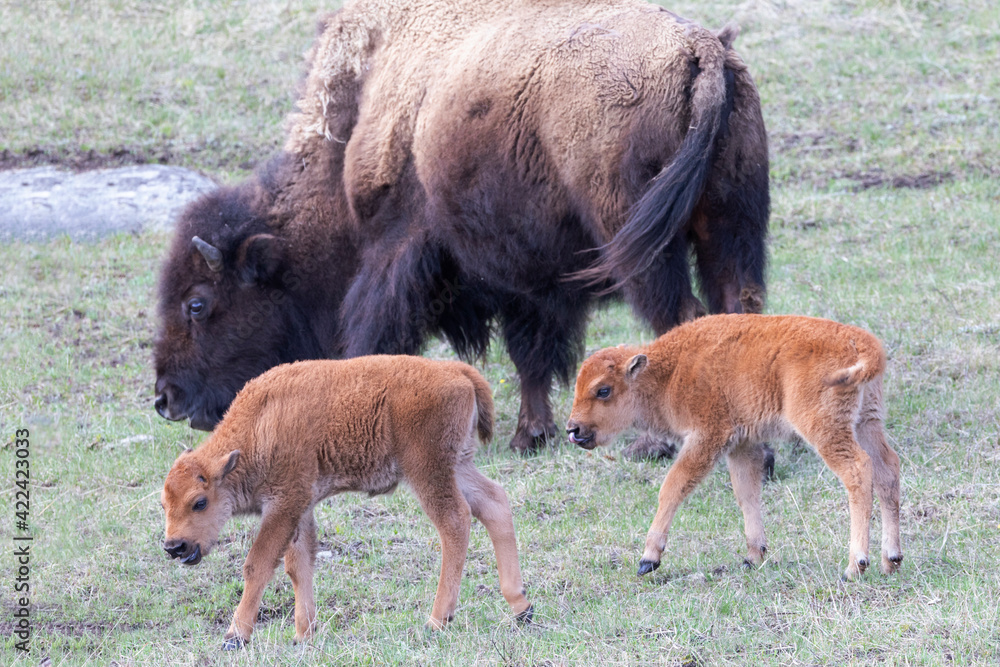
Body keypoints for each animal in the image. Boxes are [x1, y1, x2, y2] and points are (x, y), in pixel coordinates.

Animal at [153, 0, 770, 455]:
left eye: (197, 304)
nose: (166, 399)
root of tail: (701, 52)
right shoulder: (531, 276)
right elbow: (532, 354)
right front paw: (530, 435)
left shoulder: (398, 251)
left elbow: (377, 332)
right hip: (731, 227)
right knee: (737, 308)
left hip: (643, 246)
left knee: (678, 318)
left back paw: (654, 445)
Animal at [161, 355, 533, 649]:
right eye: (165, 505)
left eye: (199, 502)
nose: (174, 546)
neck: (259, 427)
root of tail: (457, 371)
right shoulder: (301, 508)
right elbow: (299, 565)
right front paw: (303, 635)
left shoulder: (283, 505)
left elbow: (258, 564)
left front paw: (235, 637)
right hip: (459, 465)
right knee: (494, 503)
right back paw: (521, 608)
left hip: (428, 471)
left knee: (455, 522)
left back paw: (437, 620)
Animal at [566, 314, 903, 580]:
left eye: (603, 390)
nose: (573, 430)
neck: (670, 371)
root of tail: (862, 343)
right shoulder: (742, 444)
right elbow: (747, 493)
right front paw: (753, 556)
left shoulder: (707, 437)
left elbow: (673, 486)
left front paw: (649, 559)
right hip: (866, 423)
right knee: (887, 469)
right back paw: (891, 559)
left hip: (825, 430)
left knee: (857, 470)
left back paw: (855, 566)